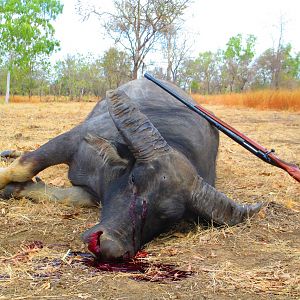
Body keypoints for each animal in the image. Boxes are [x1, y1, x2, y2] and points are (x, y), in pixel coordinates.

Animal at [0, 78, 262, 258]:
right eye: (134, 179)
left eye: (169, 216)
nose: (109, 246)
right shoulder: (71, 140)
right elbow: (24, 167)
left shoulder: (91, 194)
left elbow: (60, 195)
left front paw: (17, 189)